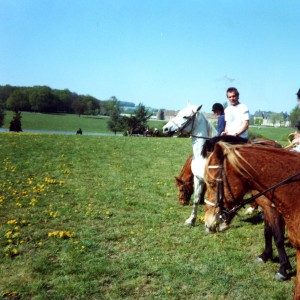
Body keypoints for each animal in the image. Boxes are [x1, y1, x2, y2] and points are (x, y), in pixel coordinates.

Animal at [204, 143, 300, 300]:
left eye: (212, 184)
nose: (207, 223)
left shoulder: (273, 210)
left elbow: (278, 238)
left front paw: (283, 269)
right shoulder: (267, 209)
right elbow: (268, 232)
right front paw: (265, 255)